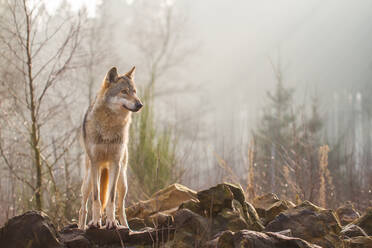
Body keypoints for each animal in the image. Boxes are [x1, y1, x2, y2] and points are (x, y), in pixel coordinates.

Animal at [78, 67, 142, 230]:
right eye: (124, 91)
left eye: (134, 91)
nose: (140, 104)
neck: (109, 125)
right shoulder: (95, 164)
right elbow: (96, 198)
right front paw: (95, 222)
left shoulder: (115, 163)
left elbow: (111, 199)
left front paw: (111, 222)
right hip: (88, 180)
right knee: (83, 208)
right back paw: (82, 227)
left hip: (123, 181)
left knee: (120, 207)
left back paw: (125, 226)